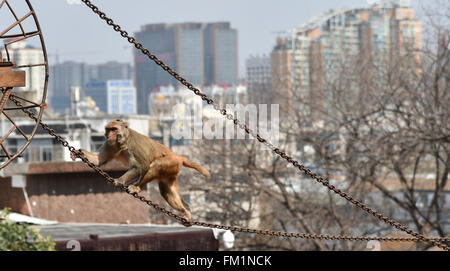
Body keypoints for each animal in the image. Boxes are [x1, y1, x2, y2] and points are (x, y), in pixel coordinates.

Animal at [71, 120, 211, 223]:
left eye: (114, 129)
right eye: (108, 129)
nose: (108, 135)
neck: (121, 141)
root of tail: (179, 156)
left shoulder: (132, 146)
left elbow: (141, 166)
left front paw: (119, 181)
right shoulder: (109, 144)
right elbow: (98, 160)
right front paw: (78, 152)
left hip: (170, 162)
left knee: (154, 166)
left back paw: (137, 187)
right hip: (172, 170)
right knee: (166, 191)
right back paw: (186, 211)